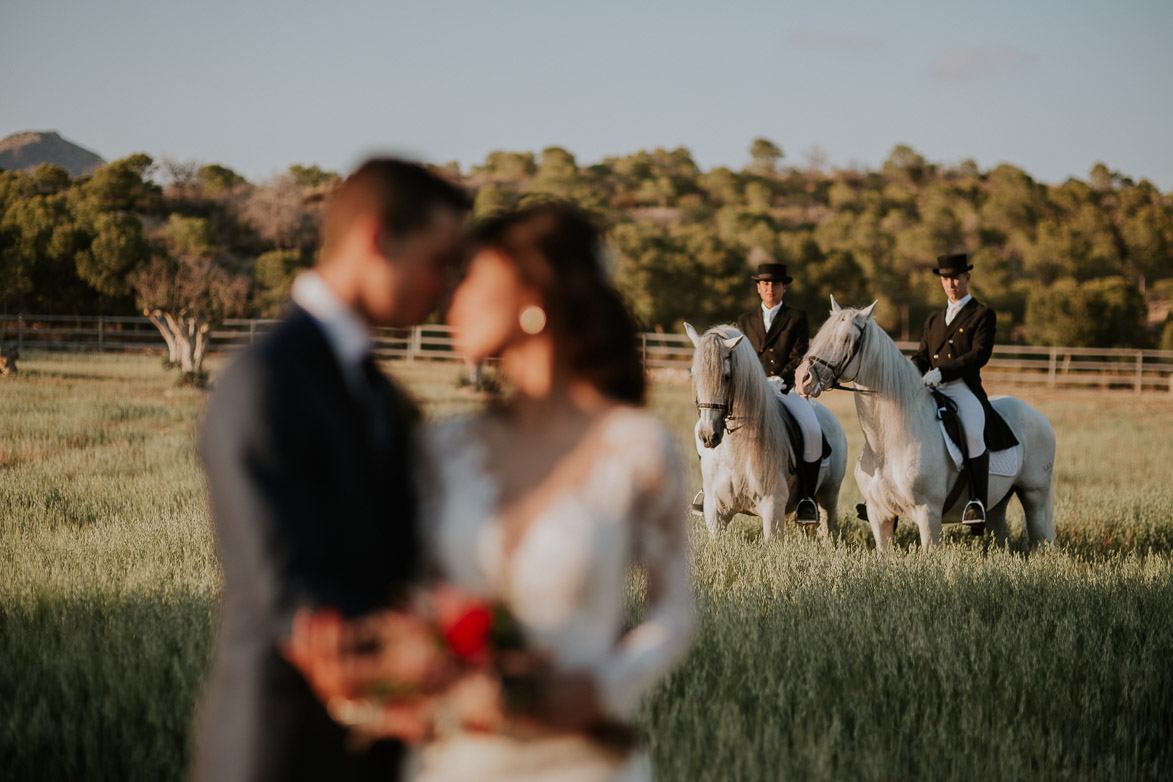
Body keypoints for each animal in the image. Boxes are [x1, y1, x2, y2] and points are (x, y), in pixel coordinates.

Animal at [685, 323, 849, 539]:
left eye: (726, 377)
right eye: (694, 375)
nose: (708, 436)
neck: (734, 451)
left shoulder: (772, 508)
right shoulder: (715, 513)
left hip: (830, 493)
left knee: (827, 525)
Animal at [797, 300, 1055, 551]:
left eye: (847, 339)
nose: (802, 379)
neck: (888, 443)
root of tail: (1039, 416)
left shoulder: (928, 512)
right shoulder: (878, 513)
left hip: (1034, 495)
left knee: (1039, 537)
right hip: (998, 502)